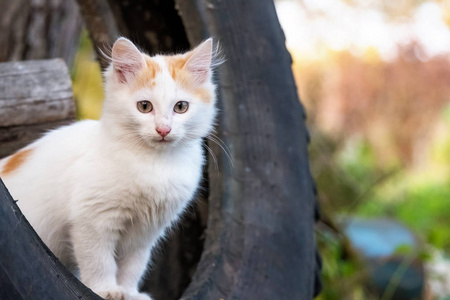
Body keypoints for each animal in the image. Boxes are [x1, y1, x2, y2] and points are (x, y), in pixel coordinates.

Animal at [0, 37, 218, 300]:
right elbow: (99, 260)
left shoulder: (145, 232)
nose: (163, 130)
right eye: (145, 106)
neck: (155, 163)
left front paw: (130, 292)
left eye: (181, 107)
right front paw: (105, 290)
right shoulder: (92, 219)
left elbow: (133, 266)